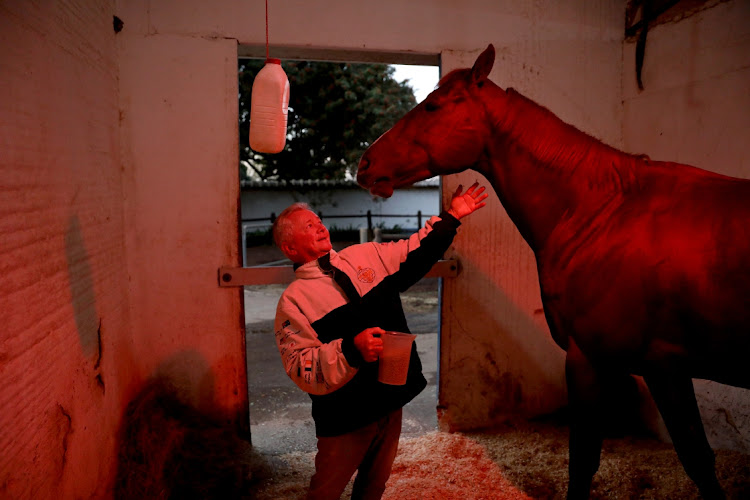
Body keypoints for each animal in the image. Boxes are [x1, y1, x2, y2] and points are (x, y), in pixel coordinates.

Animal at [360, 44, 750, 500]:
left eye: (434, 105)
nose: (365, 164)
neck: (601, 213)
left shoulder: (615, 362)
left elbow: (590, 460)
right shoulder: (660, 369)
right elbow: (698, 461)